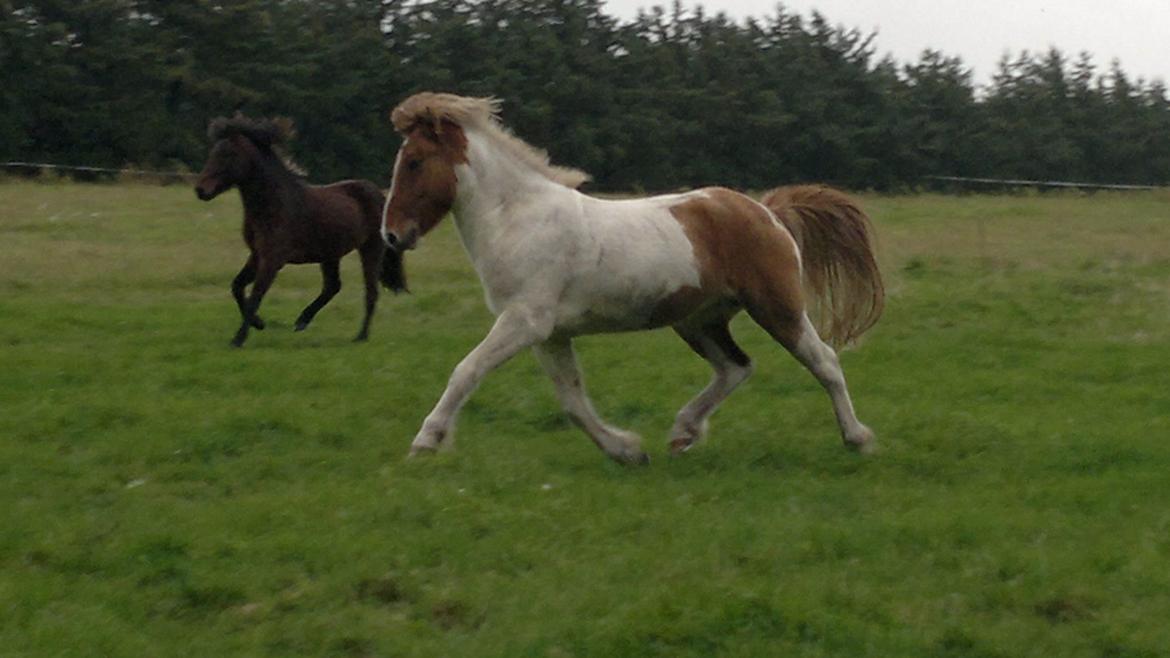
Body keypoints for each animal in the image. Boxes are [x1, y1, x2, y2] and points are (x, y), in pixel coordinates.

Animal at [196, 115, 407, 346]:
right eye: (213, 153)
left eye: (228, 155)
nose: (200, 190)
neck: (273, 205)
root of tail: (379, 195)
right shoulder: (257, 254)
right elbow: (237, 287)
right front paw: (258, 323)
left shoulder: (273, 260)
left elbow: (255, 296)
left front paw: (238, 339)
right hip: (330, 254)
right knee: (332, 286)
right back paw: (302, 321)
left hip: (370, 249)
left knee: (370, 292)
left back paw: (360, 336)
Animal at [383, 92, 884, 463]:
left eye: (414, 162)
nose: (391, 235)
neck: (518, 218)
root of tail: (768, 212)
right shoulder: (549, 334)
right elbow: (572, 400)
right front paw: (626, 450)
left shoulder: (524, 321)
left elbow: (466, 370)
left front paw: (425, 441)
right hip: (699, 321)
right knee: (735, 367)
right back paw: (683, 432)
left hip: (776, 307)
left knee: (824, 362)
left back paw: (856, 438)